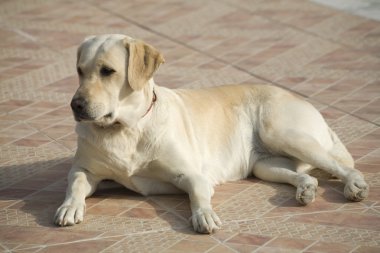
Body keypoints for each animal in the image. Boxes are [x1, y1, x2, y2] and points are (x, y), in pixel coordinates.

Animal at [54, 33, 368, 233]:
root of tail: (307, 103)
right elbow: (76, 183)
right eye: (80, 70)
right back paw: (306, 189)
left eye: (108, 71)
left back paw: (354, 186)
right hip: (265, 165)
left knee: (344, 166)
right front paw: (69, 207)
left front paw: (204, 215)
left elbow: (197, 194)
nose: (75, 105)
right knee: (304, 175)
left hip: (282, 133)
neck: (127, 128)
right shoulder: (85, 169)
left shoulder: (192, 174)